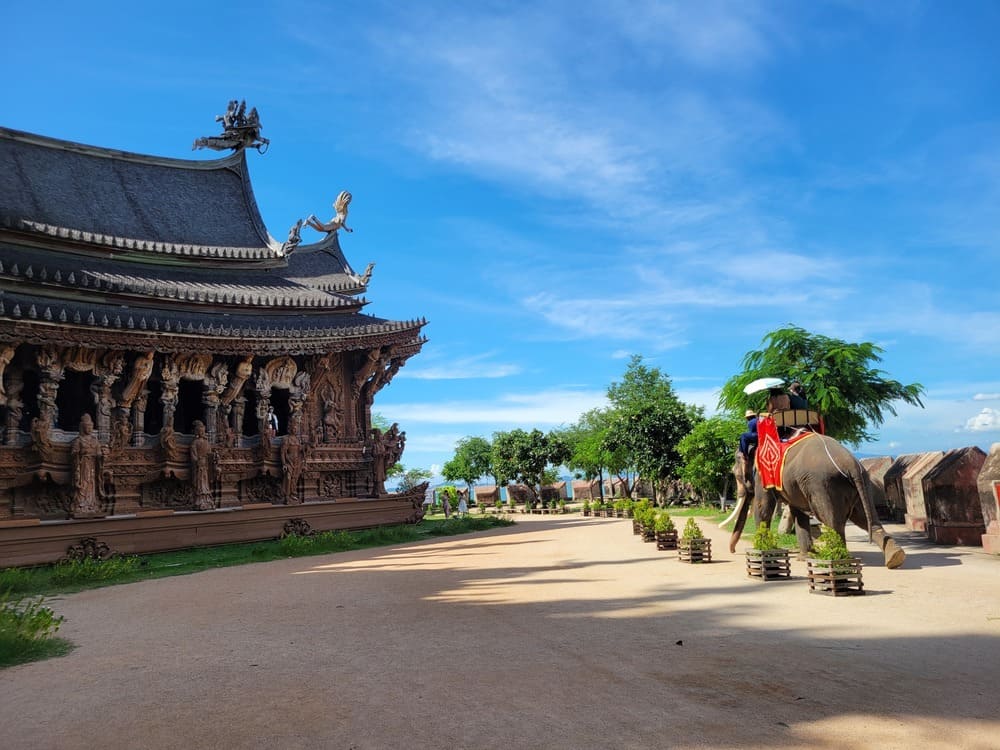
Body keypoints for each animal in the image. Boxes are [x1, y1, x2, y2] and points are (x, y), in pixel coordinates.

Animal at [728, 434, 908, 568]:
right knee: (865, 518)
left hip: (823, 484)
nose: (733, 551)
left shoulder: (763, 475)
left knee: (833, 521)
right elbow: (798, 513)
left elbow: (763, 507)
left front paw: (760, 548)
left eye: (735, 474)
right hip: (861, 483)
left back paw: (834, 557)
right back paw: (895, 557)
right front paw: (804, 557)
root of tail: (851, 464)